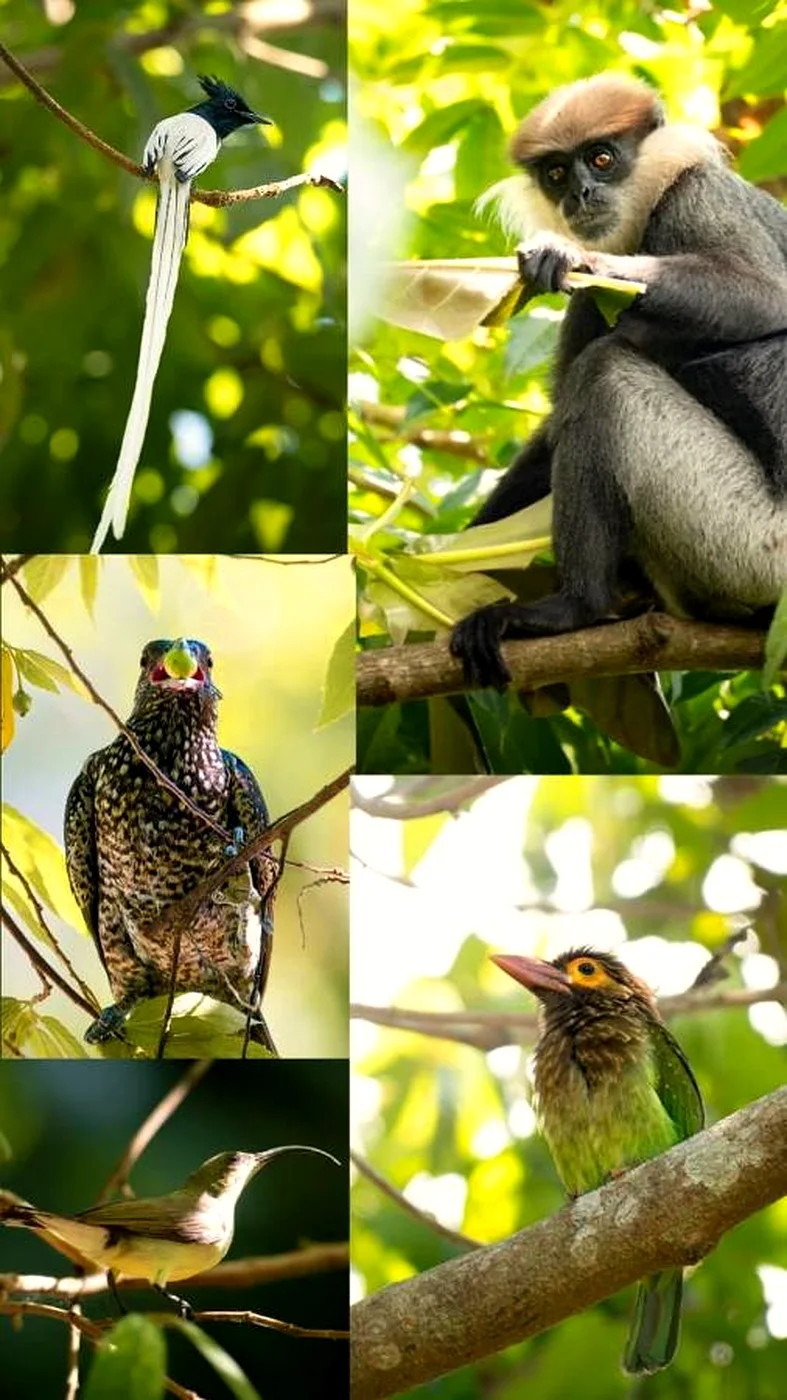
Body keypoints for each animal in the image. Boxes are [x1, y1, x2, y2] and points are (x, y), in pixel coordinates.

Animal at [449, 72, 787, 692]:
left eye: (602, 159)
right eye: (557, 173)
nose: (579, 195)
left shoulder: (699, 196)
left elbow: (764, 297)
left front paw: (574, 258)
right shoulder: (588, 306)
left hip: (753, 541)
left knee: (605, 373)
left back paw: (574, 609)